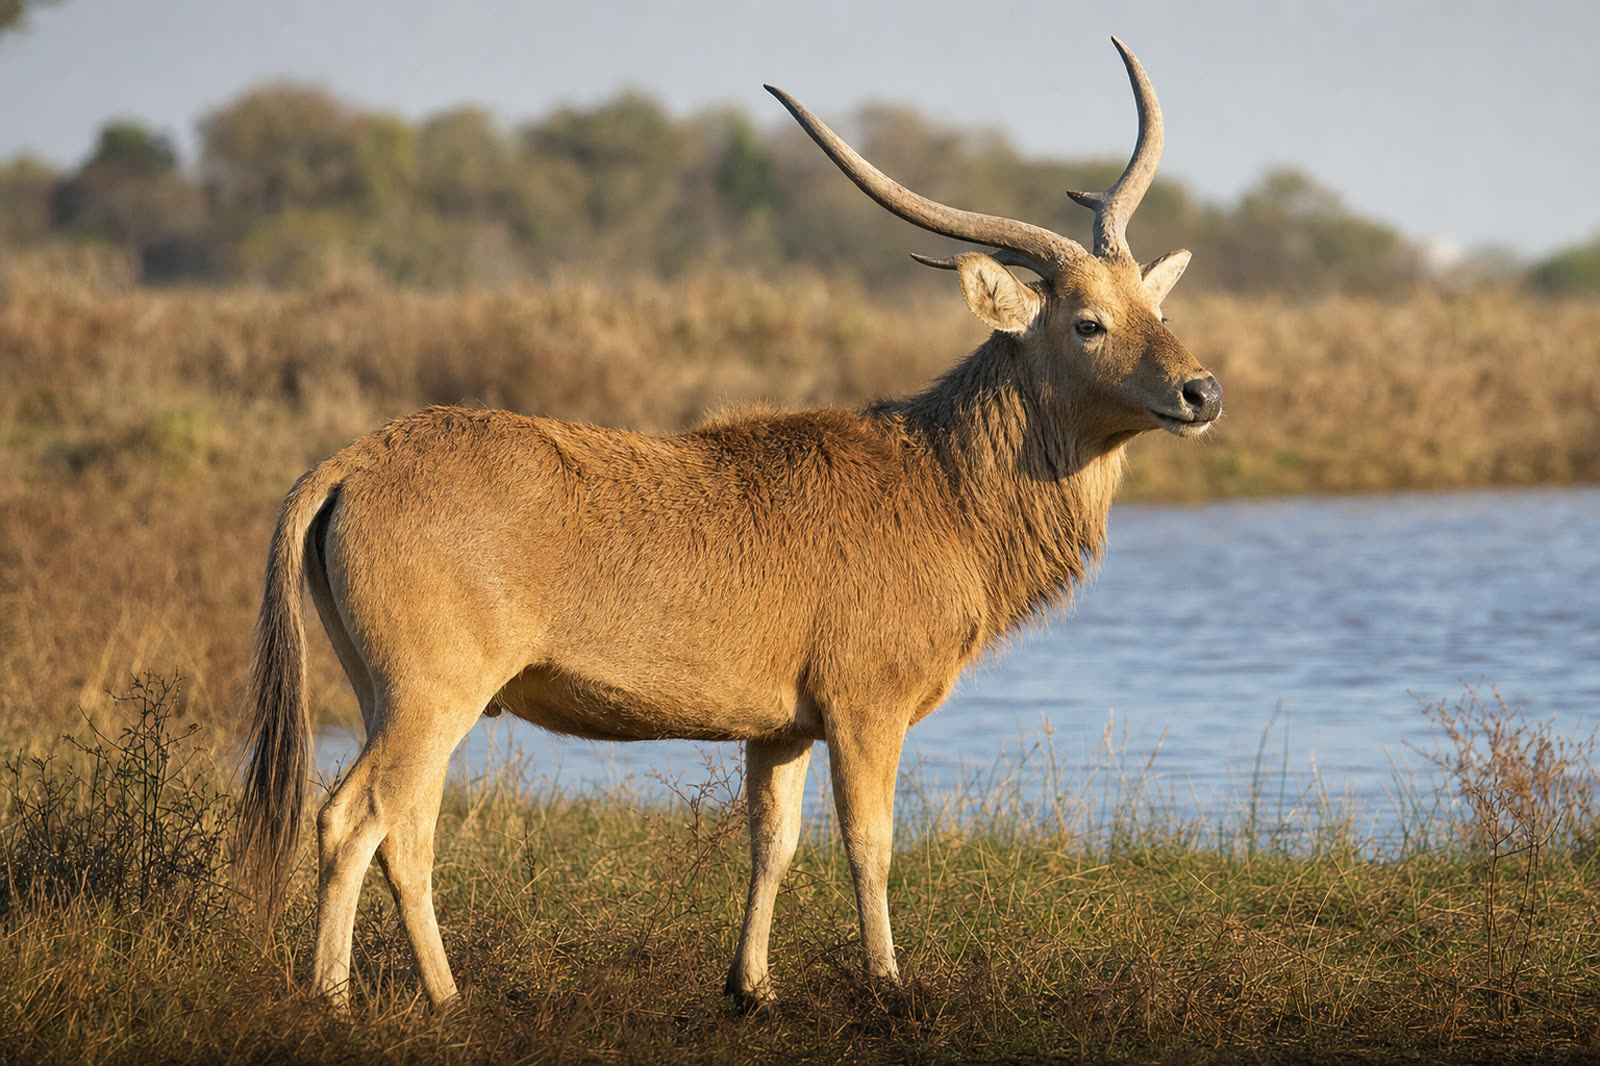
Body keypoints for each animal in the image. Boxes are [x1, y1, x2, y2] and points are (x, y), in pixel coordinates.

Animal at [237, 37, 1221, 1010]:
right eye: (1088, 321)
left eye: (1158, 306)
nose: (1201, 392)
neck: (941, 489)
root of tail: (344, 468)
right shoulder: (866, 703)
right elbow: (869, 844)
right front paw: (888, 986)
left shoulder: (780, 726)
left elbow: (772, 844)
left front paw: (751, 987)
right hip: (431, 688)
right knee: (352, 815)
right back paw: (338, 999)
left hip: (389, 688)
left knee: (407, 829)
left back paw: (442, 997)